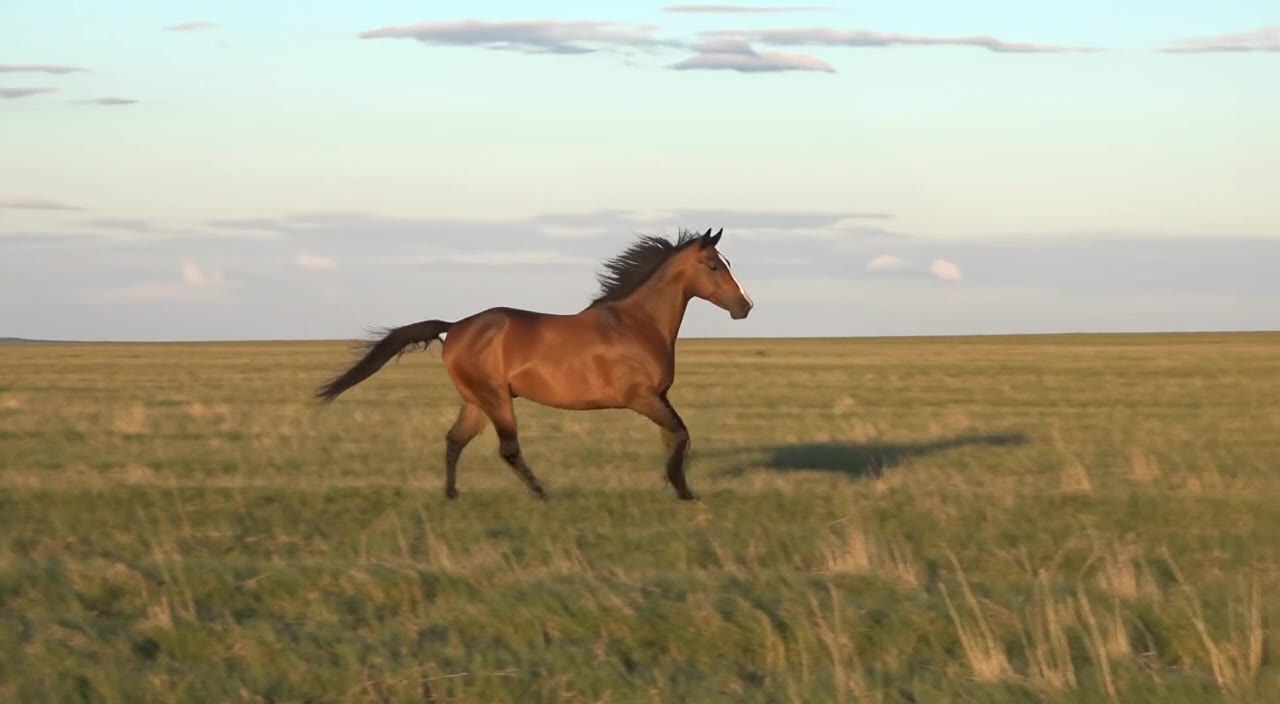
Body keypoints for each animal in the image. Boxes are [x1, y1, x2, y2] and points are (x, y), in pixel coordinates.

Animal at [313, 227, 753, 501]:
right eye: (713, 265)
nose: (744, 307)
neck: (636, 323)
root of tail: (454, 328)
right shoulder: (642, 398)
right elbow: (680, 435)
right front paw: (683, 490)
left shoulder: (659, 397)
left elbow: (672, 438)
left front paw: (678, 488)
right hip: (496, 399)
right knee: (507, 448)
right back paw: (542, 492)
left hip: (476, 400)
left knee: (455, 440)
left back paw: (452, 495)